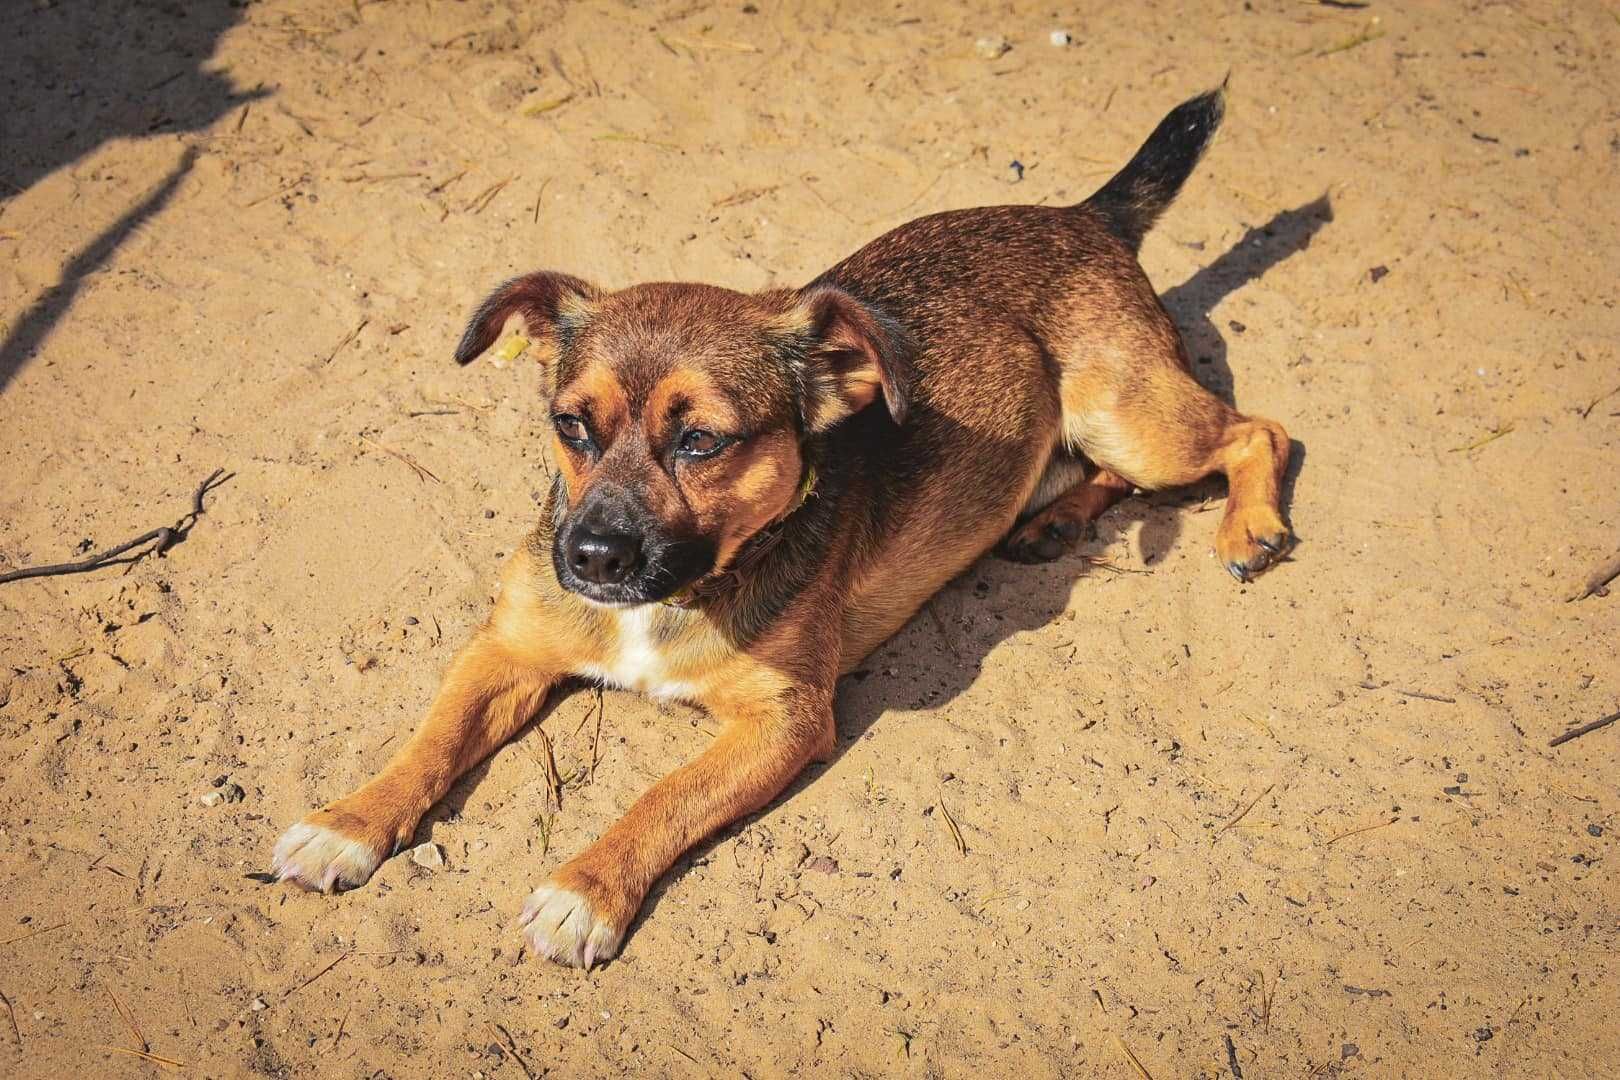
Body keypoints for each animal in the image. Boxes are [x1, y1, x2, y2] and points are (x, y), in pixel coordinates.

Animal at [275, 82, 1289, 965]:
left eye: (703, 442)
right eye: (572, 426)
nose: (591, 556)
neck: (683, 591)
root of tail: (1084, 215)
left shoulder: (786, 721)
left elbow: (665, 796)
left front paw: (584, 891)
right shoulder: (505, 649)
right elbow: (429, 740)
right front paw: (346, 824)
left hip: (1132, 416)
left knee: (1256, 431)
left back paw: (1249, 530)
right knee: (1113, 468)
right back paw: (1055, 520)